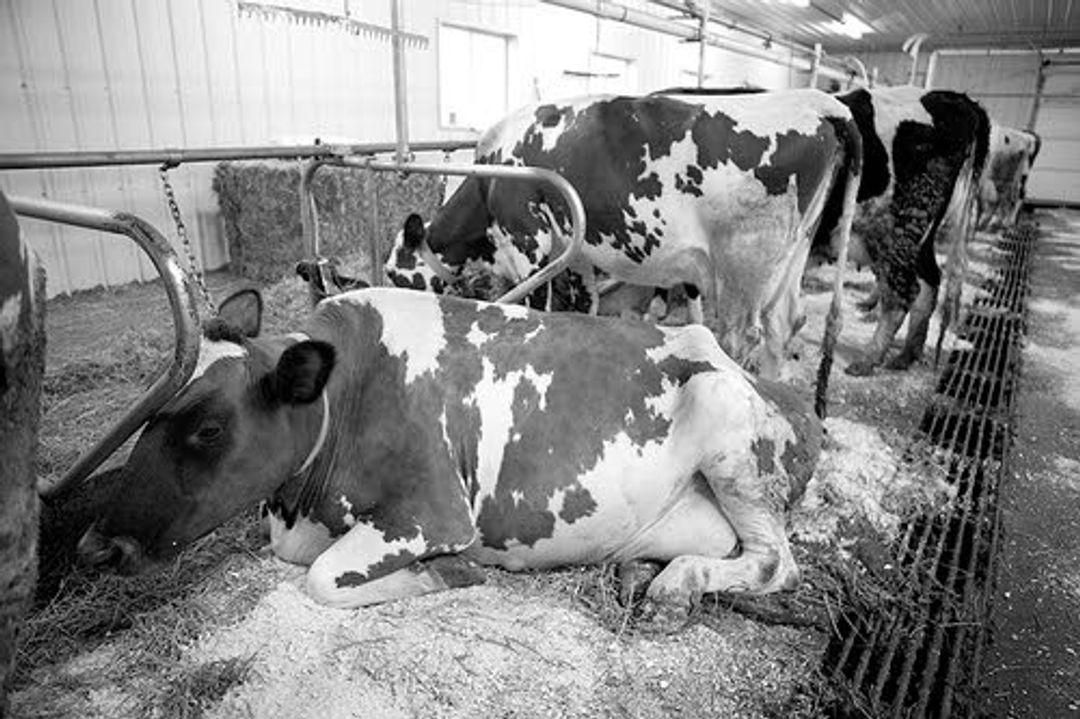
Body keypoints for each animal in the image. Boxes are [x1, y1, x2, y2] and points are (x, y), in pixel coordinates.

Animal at [77, 287, 823, 620]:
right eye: (148, 415)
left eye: (207, 428)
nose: (93, 548)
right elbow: (300, 558)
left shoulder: (432, 511)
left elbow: (321, 577)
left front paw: (448, 572)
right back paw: (641, 571)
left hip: (734, 443)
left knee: (775, 562)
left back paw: (674, 584)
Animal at [386, 90, 863, 418]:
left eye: (393, 276)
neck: (488, 181)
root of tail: (822, 104)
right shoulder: (575, 253)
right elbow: (581, 308)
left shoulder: (528, 242)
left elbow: (532, 312)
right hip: (793, 255)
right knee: (785, 326)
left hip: (743, 265)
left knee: (740, 337)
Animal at [818, 86, 990, 376]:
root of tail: (949, 98)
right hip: (916, 237)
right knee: (929, 281)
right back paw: (906, 355)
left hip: (897, 230)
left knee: (903, 293)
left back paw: (869, 359)